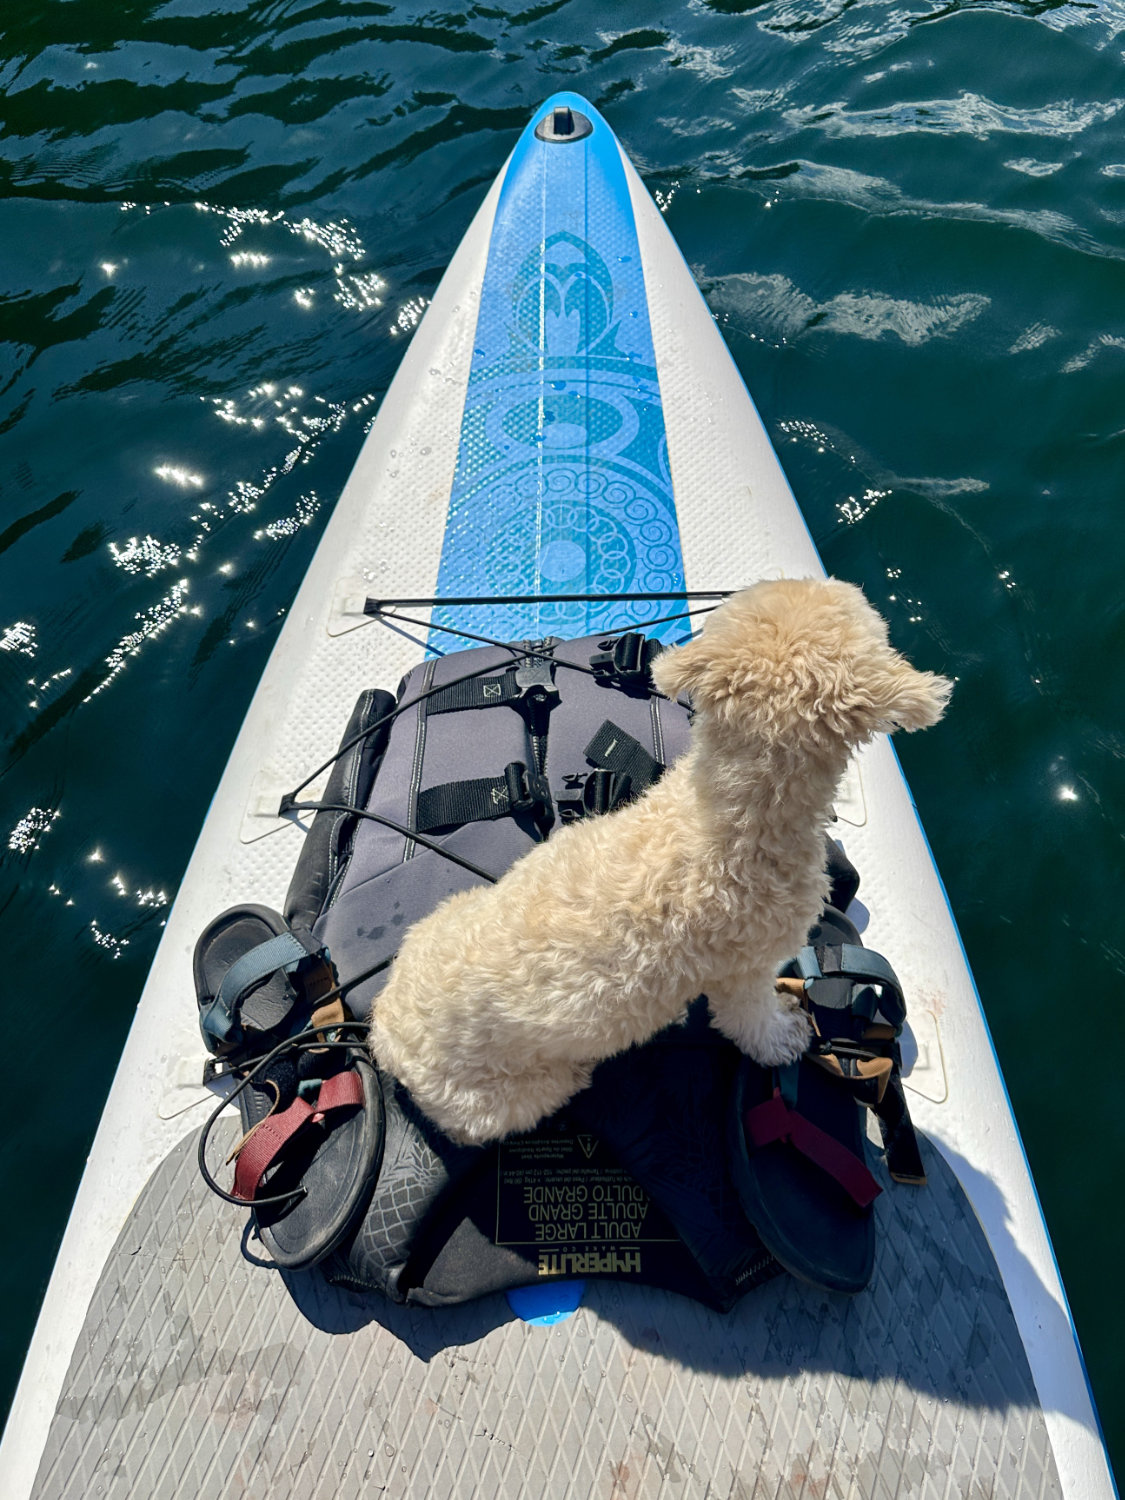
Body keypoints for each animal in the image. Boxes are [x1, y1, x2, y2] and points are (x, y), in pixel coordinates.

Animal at [370, 579, 954, 1140]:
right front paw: (785, 1037)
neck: (735, 809)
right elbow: (752, 1022)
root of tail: (382, 1037)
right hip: (511, 1094)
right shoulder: (744, 969)